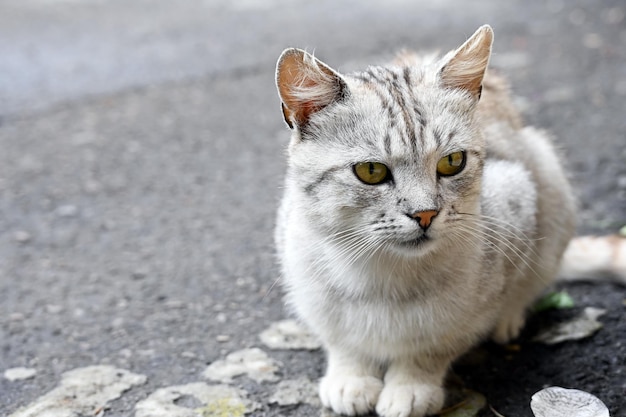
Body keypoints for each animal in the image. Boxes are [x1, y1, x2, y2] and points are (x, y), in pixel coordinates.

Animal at [272, 26, 620, 416]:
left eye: (452, 162)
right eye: (371, 171)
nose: (425, 213)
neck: (382, 275)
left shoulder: (511, 212)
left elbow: (432, 348)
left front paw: (410, 387)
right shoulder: (311, 291)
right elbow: (343, 341)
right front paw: (352, 378)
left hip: (547, 176)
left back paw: (509, 319)